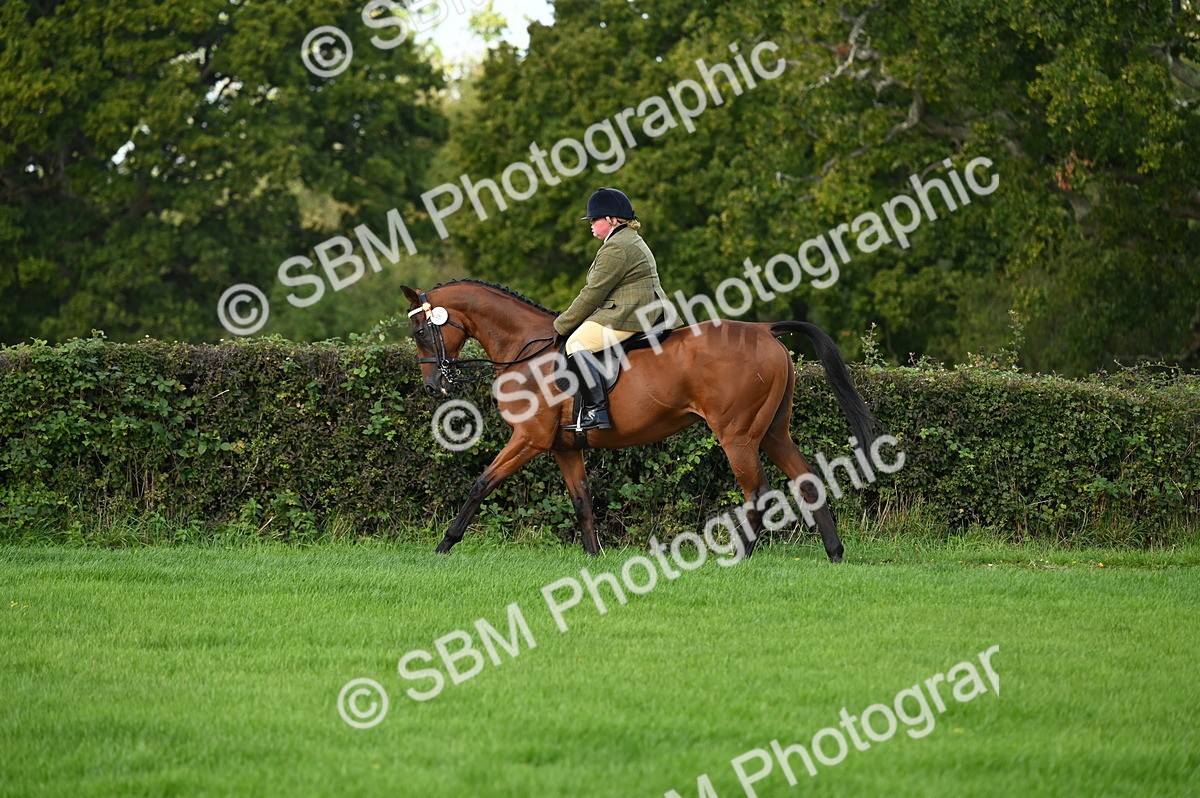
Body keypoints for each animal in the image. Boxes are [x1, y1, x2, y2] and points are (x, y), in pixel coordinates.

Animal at [402, 281, 876, 562]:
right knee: (807, 480)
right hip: (773, 432)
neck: (525, 348)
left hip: (737, 436)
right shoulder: (563, 448)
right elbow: (582, 502)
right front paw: (594, 557)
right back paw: (835, 552)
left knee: (759, 492)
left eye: (422, 333)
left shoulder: (529, 439)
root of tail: (764, 329)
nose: (432, 386)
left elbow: (481, 484)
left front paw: (445, 543)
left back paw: (739, 557)